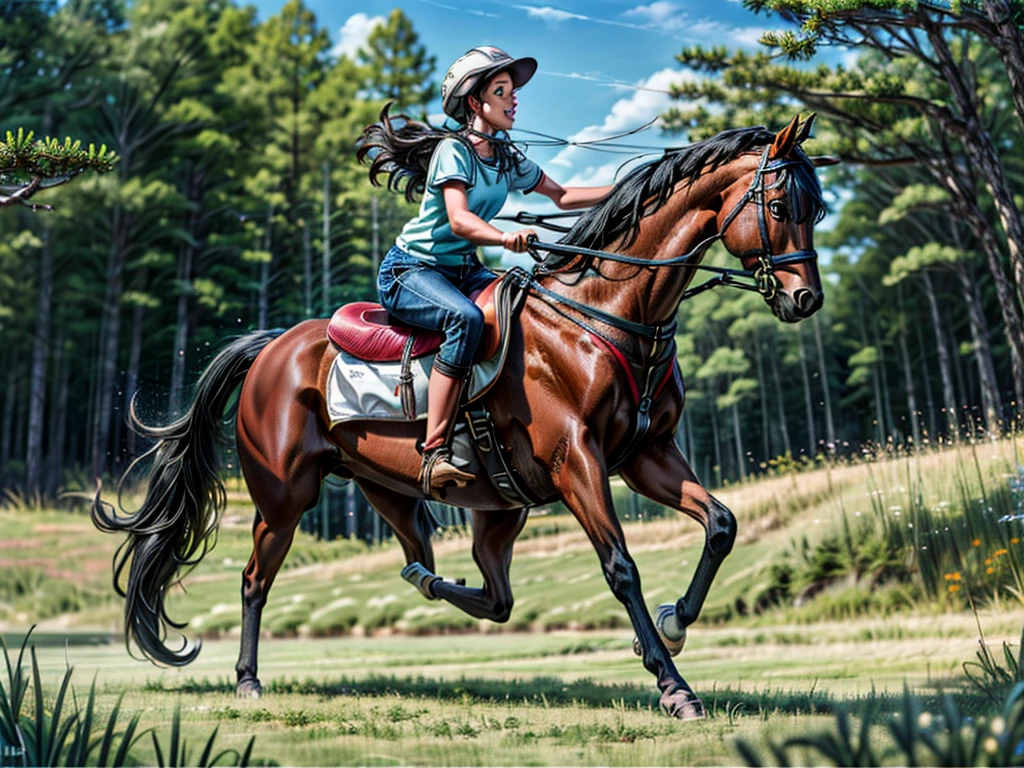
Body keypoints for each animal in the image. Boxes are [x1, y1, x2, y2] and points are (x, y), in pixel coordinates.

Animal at [94, 115, 831, 720]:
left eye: (817, 210)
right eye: (777, 204)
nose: (805, 300)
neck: (605, 316)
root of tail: (272, 346)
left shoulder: (648, 456)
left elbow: (721, 523)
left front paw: (677, 619)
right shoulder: (577, 461)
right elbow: (621, 567)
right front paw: (674, 685)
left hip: (421, 497)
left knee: (464, 579)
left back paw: (427, 578)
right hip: (284, 495)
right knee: (255, 579)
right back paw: (247, 681)